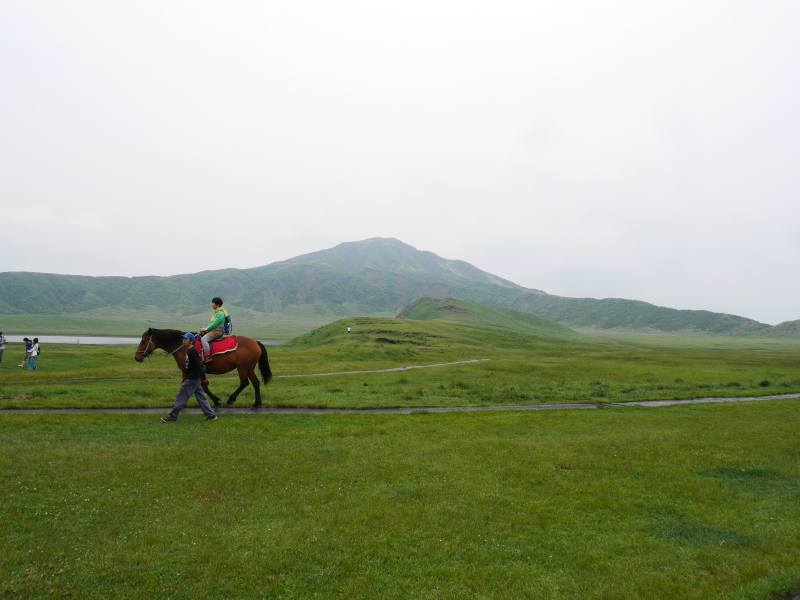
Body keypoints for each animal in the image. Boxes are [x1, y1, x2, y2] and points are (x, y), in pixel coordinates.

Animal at [136, 328, 274, 408]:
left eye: (143, 341)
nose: (137, 357)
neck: (184, 346)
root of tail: (255, 342)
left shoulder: (193, 370)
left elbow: (203, 387)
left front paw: (216, 401)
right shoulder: (187, 371)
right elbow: (188, 385)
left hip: (243, 368)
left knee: (244, 383)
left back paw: (231, 400)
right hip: (249, 368)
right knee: (255, 383)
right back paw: (256, 403)